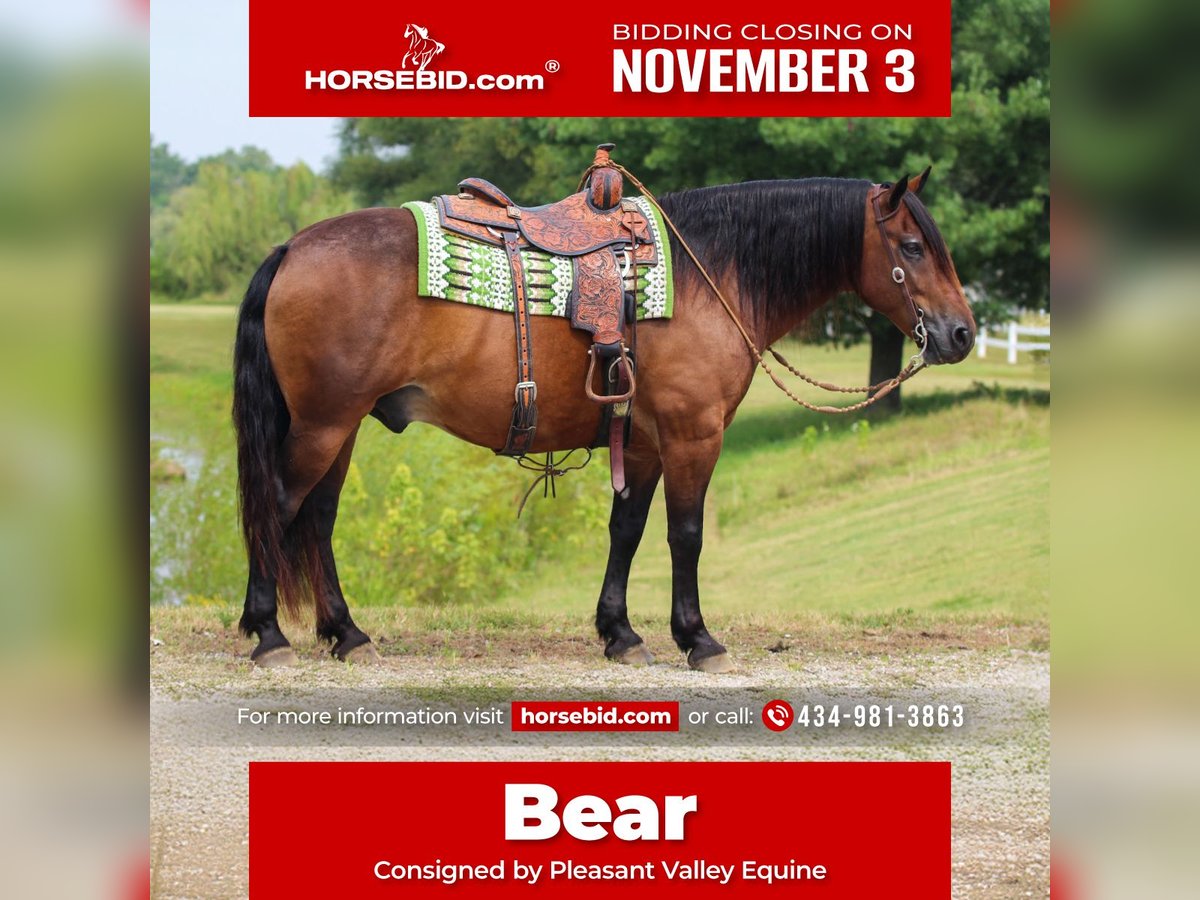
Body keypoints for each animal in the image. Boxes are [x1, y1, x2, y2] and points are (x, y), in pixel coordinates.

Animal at [232, 169, 976, 672]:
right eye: (912, 246)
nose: (962, 334)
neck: (714, 275)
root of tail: (293, 248)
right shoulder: (693, 435)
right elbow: (685, 535)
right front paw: (696, 637)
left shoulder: (642, 441)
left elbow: (627, 530)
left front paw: (619, 632)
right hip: (323, 424)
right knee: (278, 505)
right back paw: (268, 633)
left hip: (342, 426)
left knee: (317, 519)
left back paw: (345, 633)